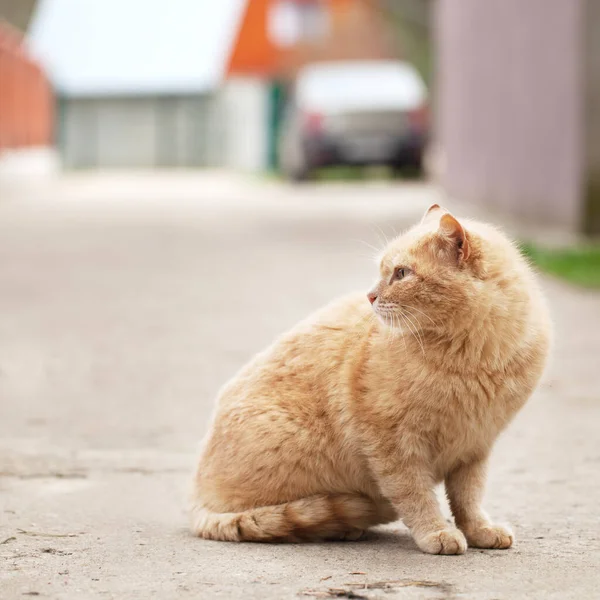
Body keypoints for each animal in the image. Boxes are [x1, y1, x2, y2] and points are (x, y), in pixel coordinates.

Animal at [191, 205, 548, 552]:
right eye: (383, 270)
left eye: (401, 273)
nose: (370, 296)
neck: (474, 357)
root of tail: (195, 495)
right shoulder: (393, 444)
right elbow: (415, 496)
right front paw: (435, 532)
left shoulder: (475, 446)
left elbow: (469, 499)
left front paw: (480, 530)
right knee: (272, 518)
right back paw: (339, 527)